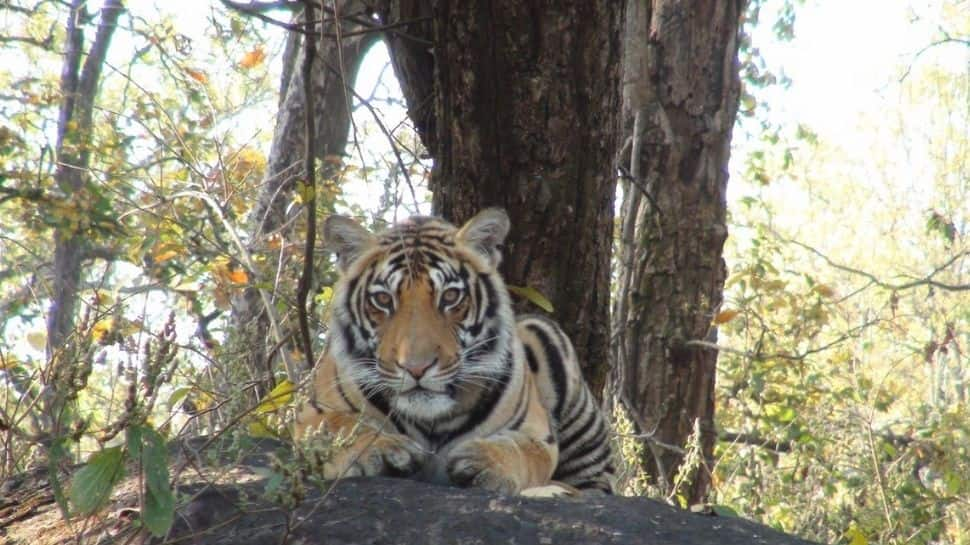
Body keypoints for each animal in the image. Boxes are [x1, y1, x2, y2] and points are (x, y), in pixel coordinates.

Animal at [294, 207, 612, 492]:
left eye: (450, 296)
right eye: (383, 300)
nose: (416, 368)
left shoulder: (538, 431)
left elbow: (522, 449)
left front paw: (486, 460)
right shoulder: (311, 412)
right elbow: (339, 425)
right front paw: (381, 448)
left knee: (594, 486)